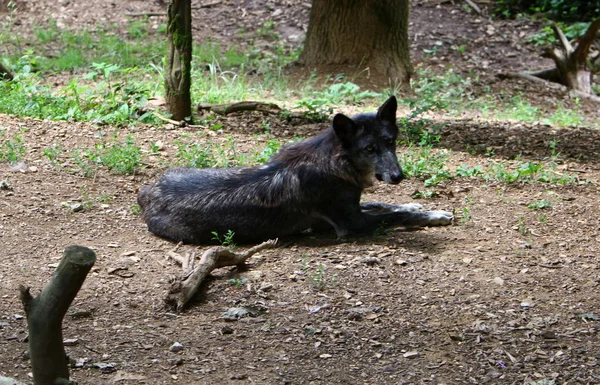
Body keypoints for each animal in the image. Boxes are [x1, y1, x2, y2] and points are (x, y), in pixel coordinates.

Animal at [138, 95, 452, 243]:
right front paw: (433, 215)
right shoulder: (352, 224)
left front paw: (416, 204)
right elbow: (394, 216)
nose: (398, 176)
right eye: (369, 149)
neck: (335, 163)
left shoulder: (355, 206)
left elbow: (385, 204)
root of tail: (147, 191)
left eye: (390, 142)